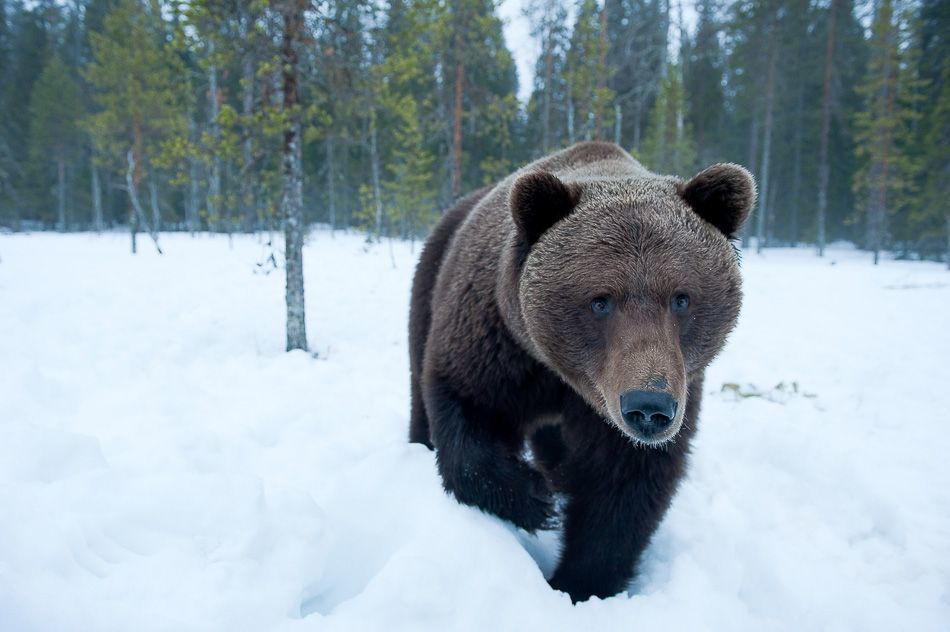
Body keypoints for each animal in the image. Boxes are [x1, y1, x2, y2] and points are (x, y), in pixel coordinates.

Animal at [410, 142, 760, 604]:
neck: (562, 376)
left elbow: (623, 487)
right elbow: (467, 407)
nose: (648, 406)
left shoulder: (670, 388)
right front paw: (533, 498)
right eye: (600, 300)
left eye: (682, 298)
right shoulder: (497, 345)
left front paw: (582, 583)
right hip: (429, 280)